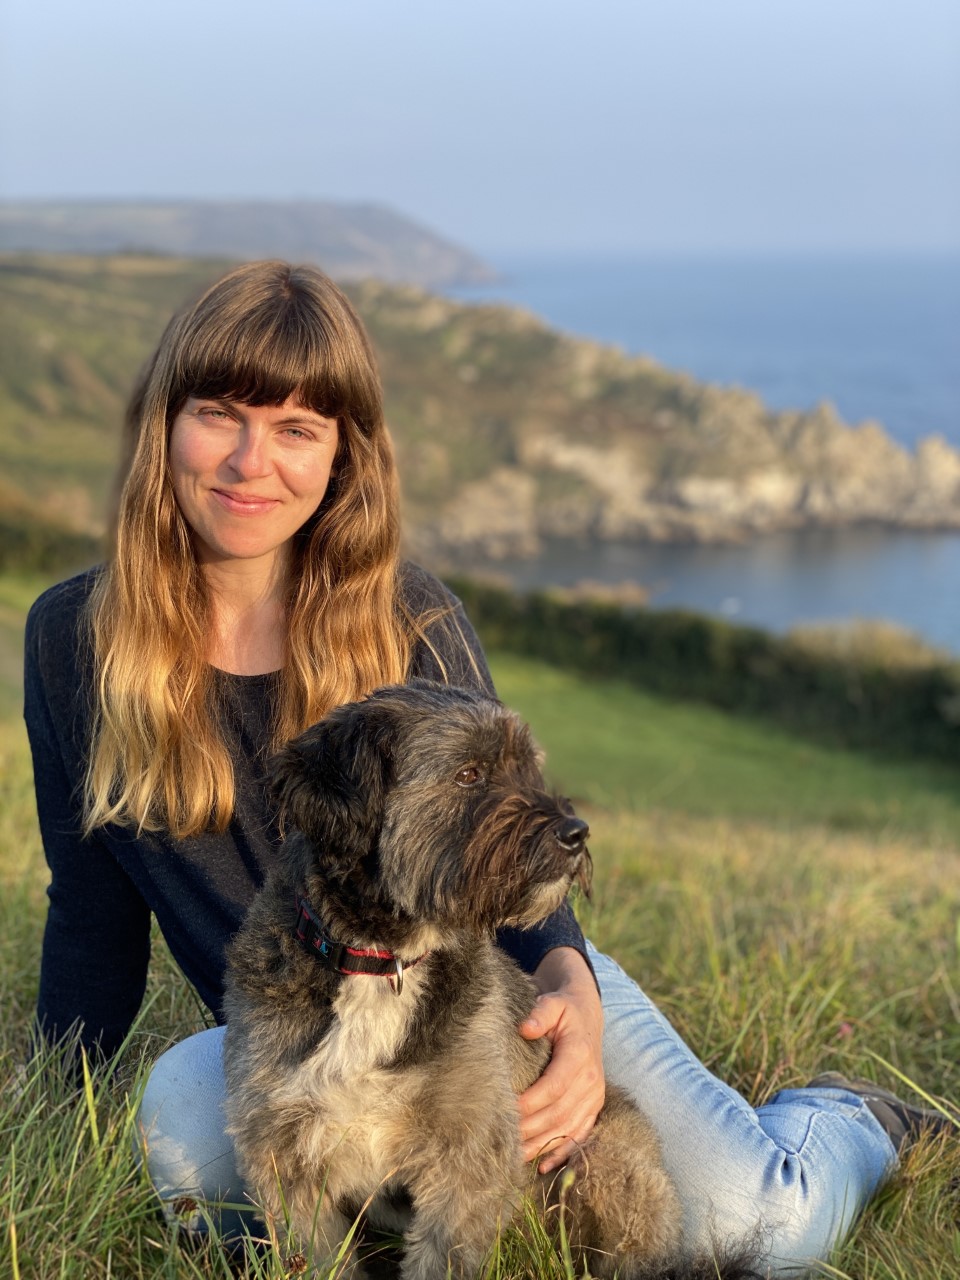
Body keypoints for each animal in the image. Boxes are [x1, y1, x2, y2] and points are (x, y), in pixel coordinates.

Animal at [223, 680, 761, 1280]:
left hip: (601, 1165)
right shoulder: (283, 1156)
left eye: (525, 768)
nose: (576, 833)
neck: (384, 961)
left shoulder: (469, 1156)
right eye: (468, 773)